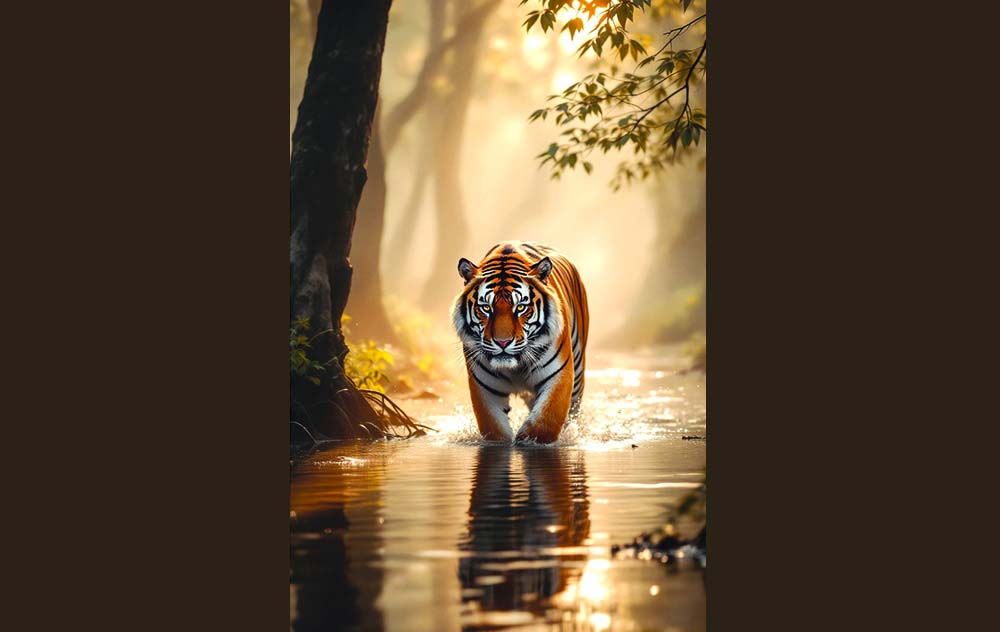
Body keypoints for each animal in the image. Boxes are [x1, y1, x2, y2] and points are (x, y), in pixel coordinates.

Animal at [452, 241, 589, 443]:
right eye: (486, 308)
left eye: (521, 307)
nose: (503, 342)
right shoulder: (485, 389)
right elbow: (495, 428)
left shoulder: (559, 376)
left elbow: (543, 425)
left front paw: (527, 440)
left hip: (578, 375)